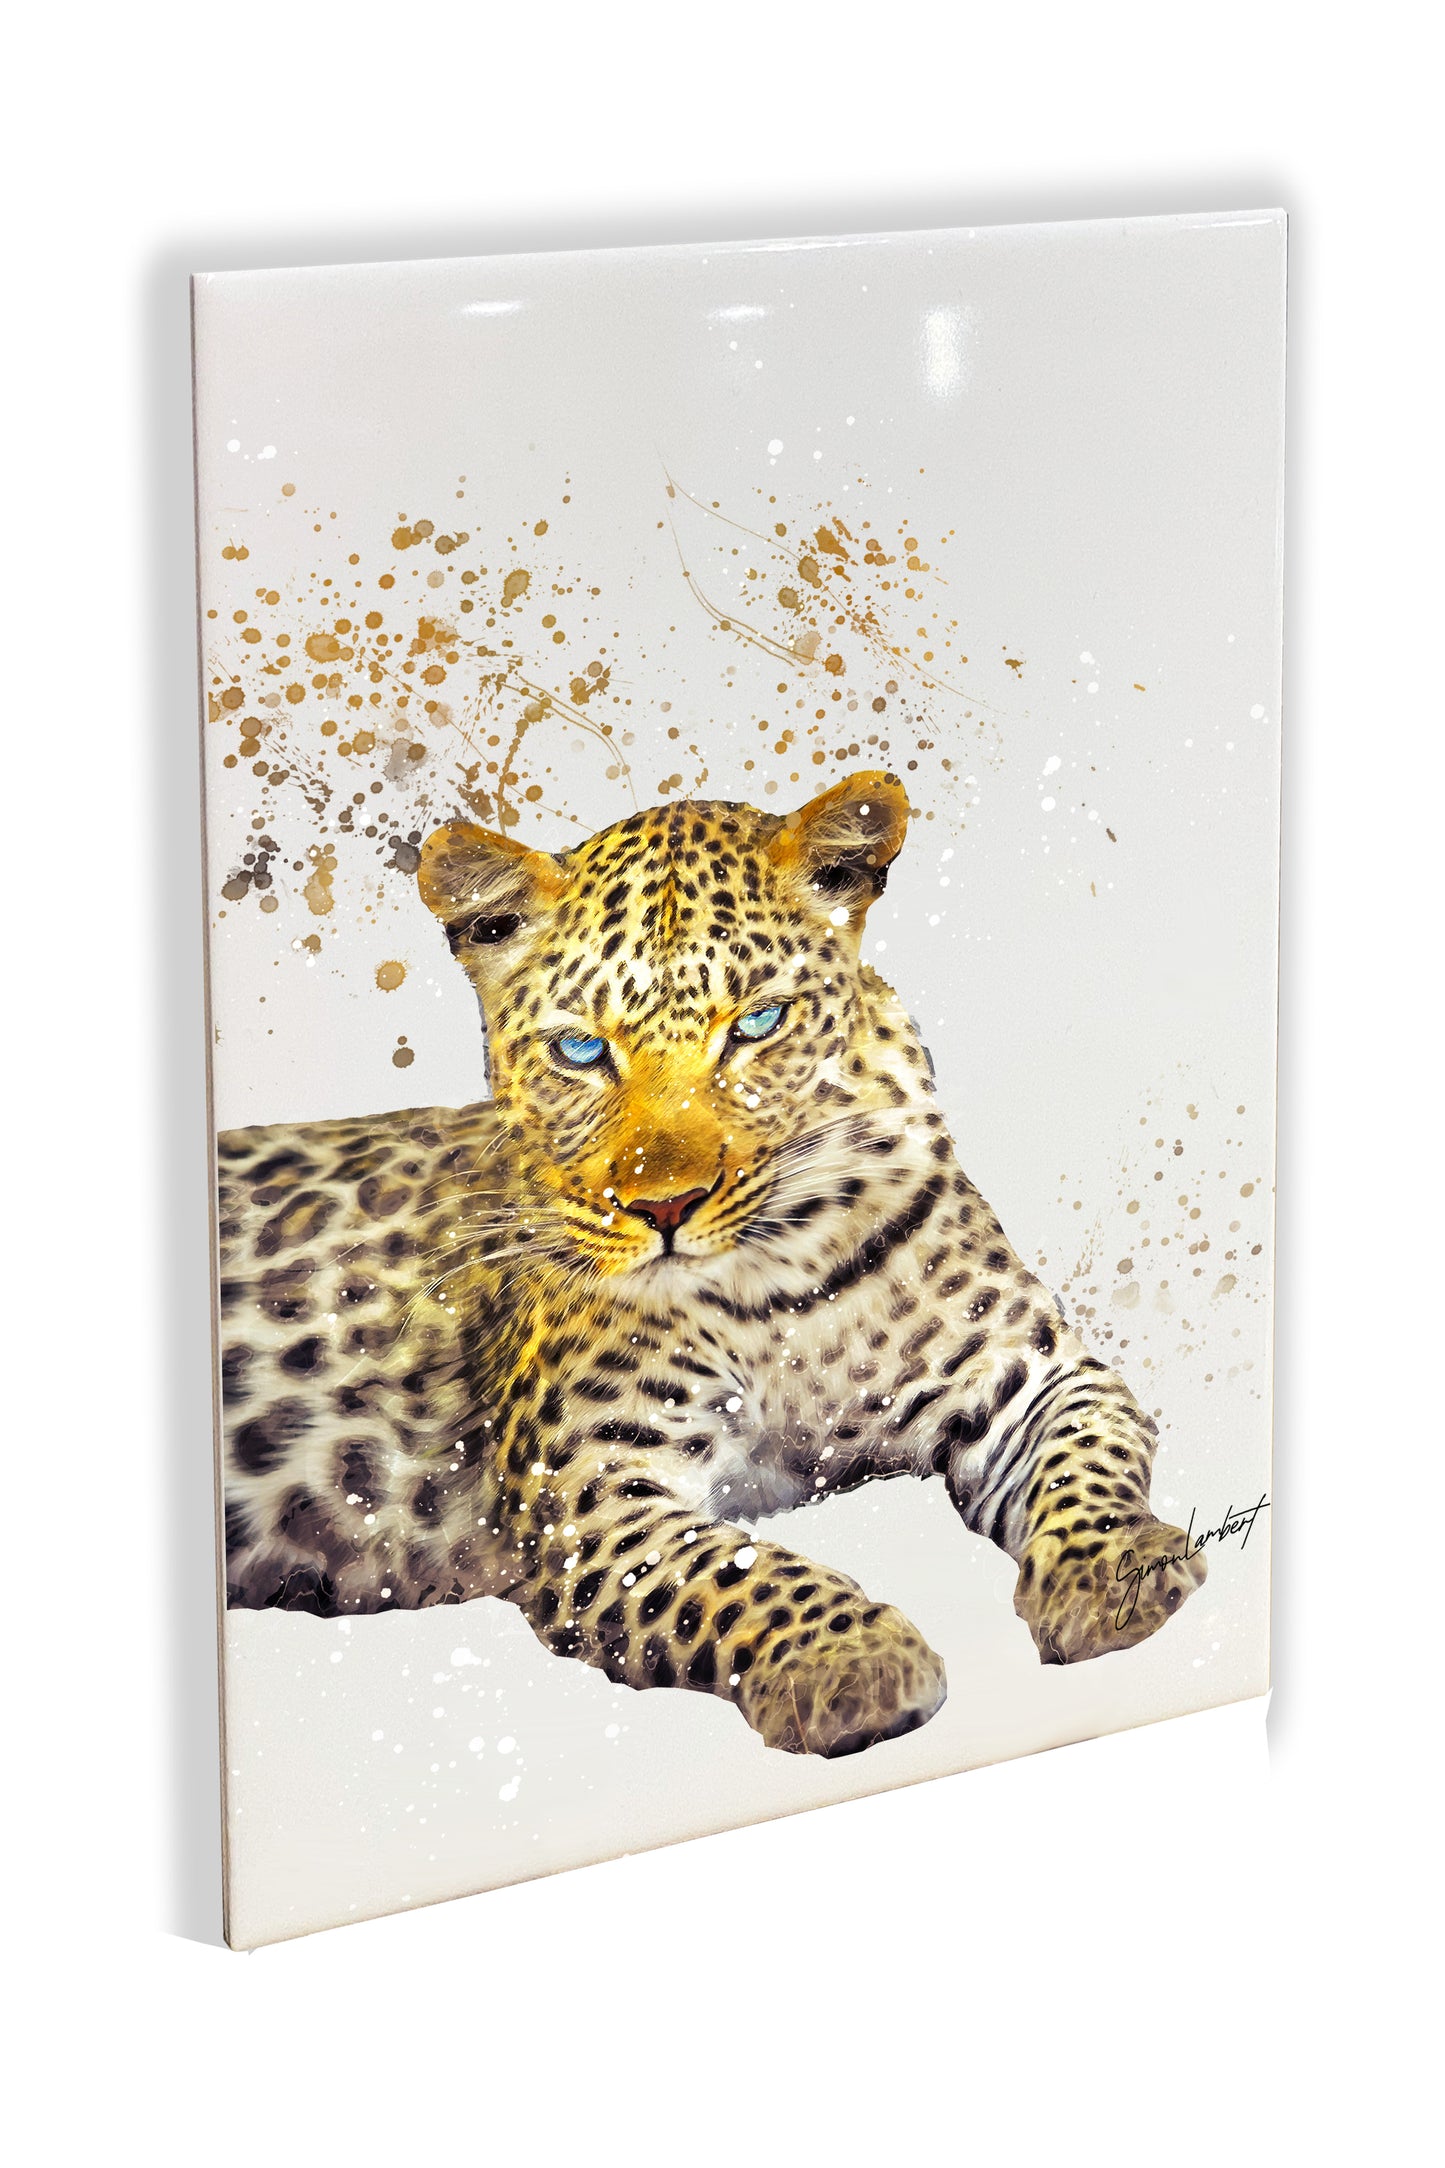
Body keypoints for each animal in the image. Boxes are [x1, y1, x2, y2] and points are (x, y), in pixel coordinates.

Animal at [217, 769, 1205, 1757]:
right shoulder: (587, 1491)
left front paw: (1114, 1572)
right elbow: (732, 1569)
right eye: (581, 1049)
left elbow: (1086, 1461)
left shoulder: (1030, 1374)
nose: (664, 1208)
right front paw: (849, 1661)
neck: (778, 1283)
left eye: (757, 1023)